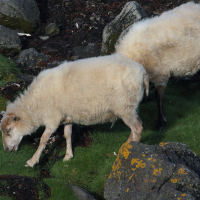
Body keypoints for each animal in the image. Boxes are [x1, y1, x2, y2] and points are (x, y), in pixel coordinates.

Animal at [0, 53, 148, 167]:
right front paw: (68, 155)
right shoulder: (67, 117)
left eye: (8, 130)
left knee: (137, 128)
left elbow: (43, 139)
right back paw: (127, 145)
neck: (34, 105)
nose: (6, 150)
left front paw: (32, 161)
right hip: (130, 108)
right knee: (135, 127)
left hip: (125, 107)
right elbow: (67, 134)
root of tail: (142, 71)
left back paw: (131, 150)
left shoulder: (52, 118)